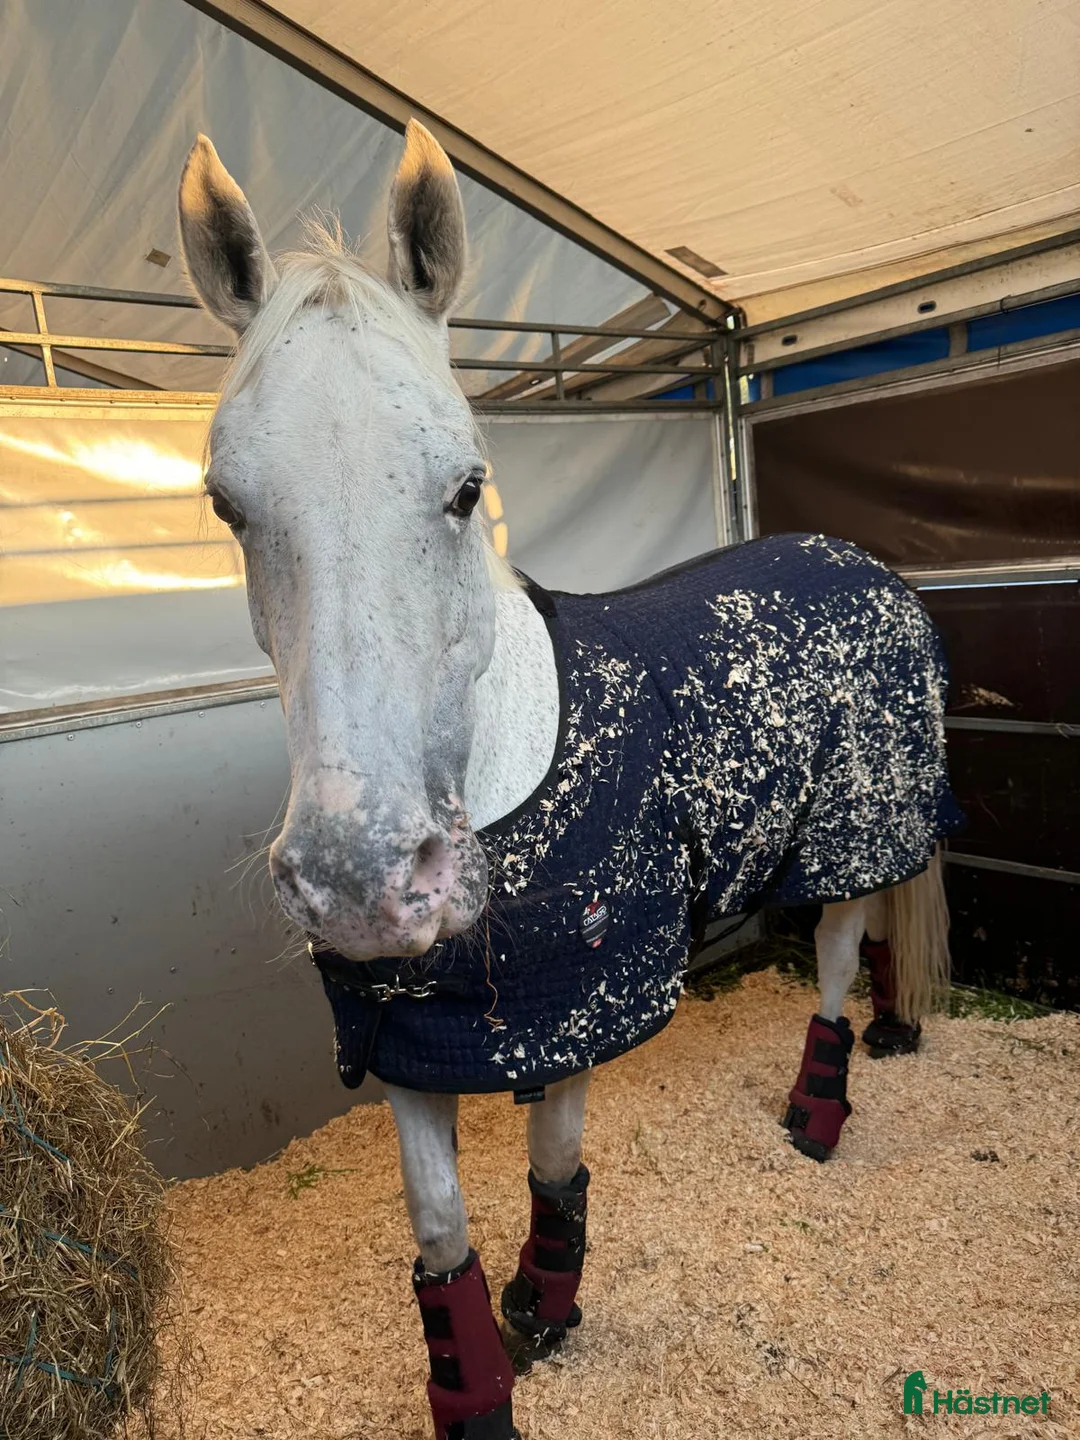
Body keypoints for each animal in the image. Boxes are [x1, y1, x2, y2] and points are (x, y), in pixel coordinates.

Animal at [178, 120, 960, 1440]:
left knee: (839, 949)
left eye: (467, 486)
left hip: (855, 824)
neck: (500, 778)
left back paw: (817, 1116)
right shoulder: (406, 1032)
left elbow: (553, 1164)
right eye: (227, 503)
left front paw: (546, 1308)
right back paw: (896, 1034)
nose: (362, 883)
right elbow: (438, 1223)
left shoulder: (579, 1002)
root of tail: (858, 563)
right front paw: (475, 1379)